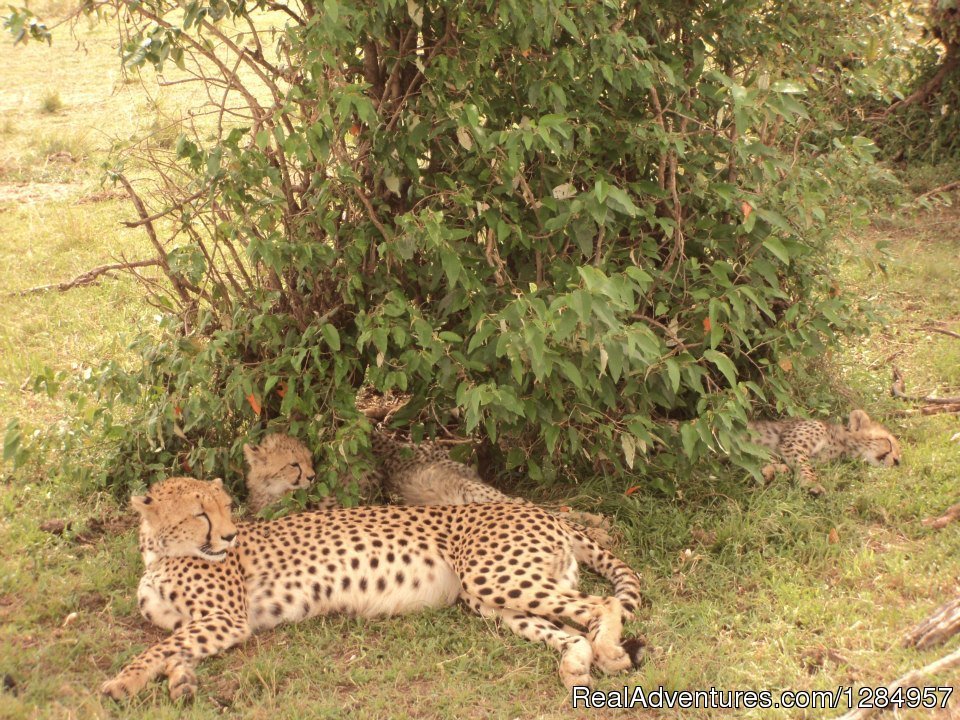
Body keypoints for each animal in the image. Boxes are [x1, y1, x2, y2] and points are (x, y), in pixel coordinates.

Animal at [101, 476, 644, 700]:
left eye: (225, 508)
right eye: (201, 513)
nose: (230, 534)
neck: (159, 553)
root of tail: (534, 507)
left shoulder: (225, 619)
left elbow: (155, 650)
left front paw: (123, 682)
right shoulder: (206, 624)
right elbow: (174, 648)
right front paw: (181, 682)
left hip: (493, 575)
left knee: (604, 603)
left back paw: (610, 652)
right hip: (489, 598)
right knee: (573, 625)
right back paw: (577, 664)